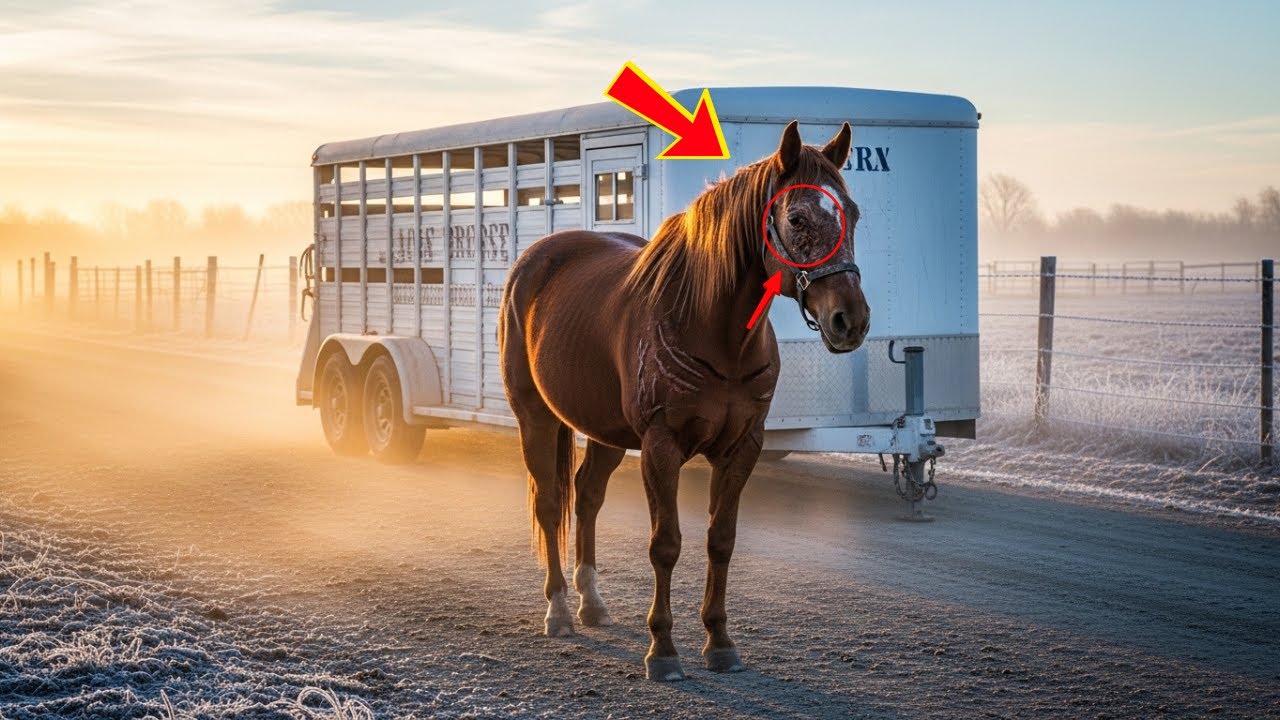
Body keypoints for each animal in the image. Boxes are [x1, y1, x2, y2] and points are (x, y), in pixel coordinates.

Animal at [498, 121, 870, 681]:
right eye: (797, 217)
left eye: (852, 212)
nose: (851, 319)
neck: (714, 331)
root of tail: (533, 261)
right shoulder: (661, 446)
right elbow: (666, 544)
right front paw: (663, 649)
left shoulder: (742, 447)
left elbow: (721, 540)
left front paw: (719, 641)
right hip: (535, 416)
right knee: (548, 503)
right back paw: (559, 609)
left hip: (607, 431)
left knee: (586, 496)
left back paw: (592, 602)